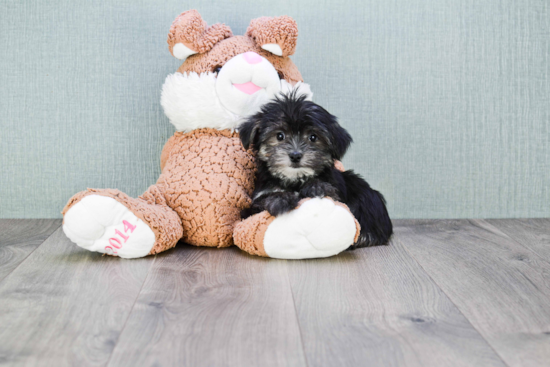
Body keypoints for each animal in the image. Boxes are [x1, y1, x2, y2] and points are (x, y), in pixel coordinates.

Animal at [240, 92, 392, 250]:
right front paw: (280, 198)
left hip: (365, 194)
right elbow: (262, 200)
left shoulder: (337, 193)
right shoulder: (252, 206)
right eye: (279, 135)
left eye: (313, 137)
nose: (295, 155)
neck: (295, 180)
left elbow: (331, 193)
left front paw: (317, 186)